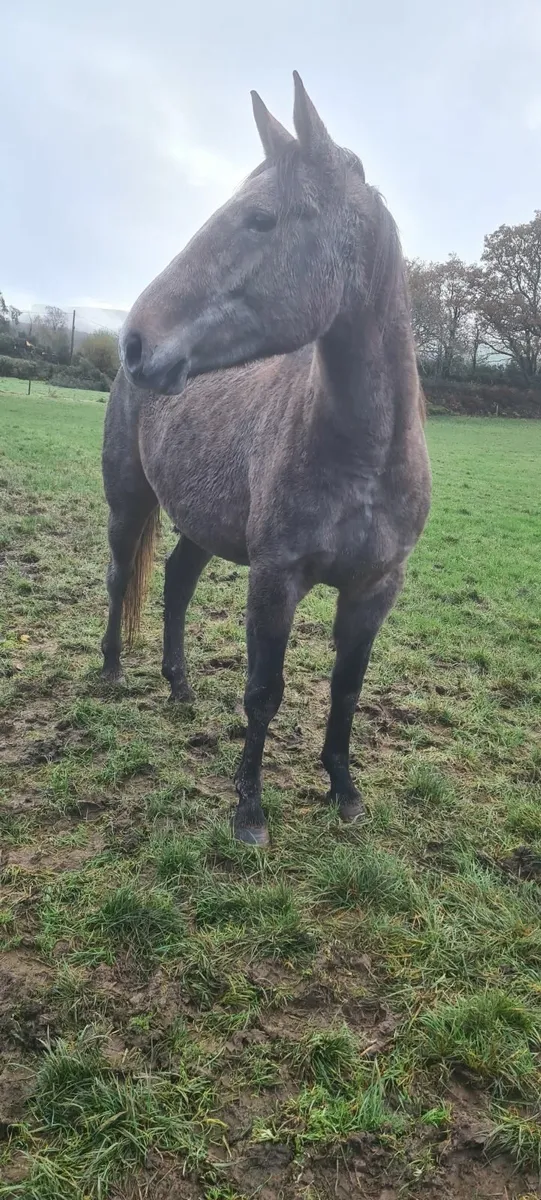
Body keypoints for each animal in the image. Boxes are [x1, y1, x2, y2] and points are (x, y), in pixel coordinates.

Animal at [101, 72, 431, 847]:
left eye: (259, 219)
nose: (135, 342)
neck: (363, 455)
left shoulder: (376, 587)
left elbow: (347, 688)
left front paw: (344, 792)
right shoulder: (274, 578)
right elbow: (263, 691)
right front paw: (249, 810)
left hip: (198, 522)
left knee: (176, 582)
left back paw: (180, 686)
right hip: (129, 501)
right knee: (119, 574)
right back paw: (110, 674)